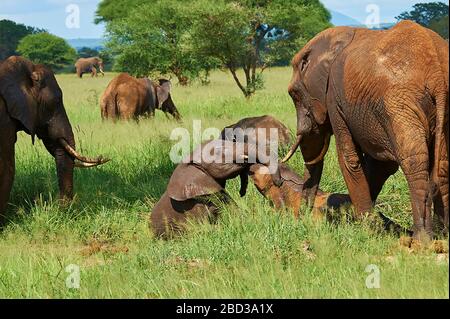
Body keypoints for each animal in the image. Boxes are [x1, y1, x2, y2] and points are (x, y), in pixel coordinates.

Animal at [282, 20, 446, 242]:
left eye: (294, 94)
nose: (303, 216)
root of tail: (437, 73)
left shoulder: (334, 97)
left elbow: (349, 158)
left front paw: (365, 226)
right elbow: (381, 165)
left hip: (399, 101)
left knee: (414, 161)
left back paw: (422, 239)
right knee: (442, 164)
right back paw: (442, 234)